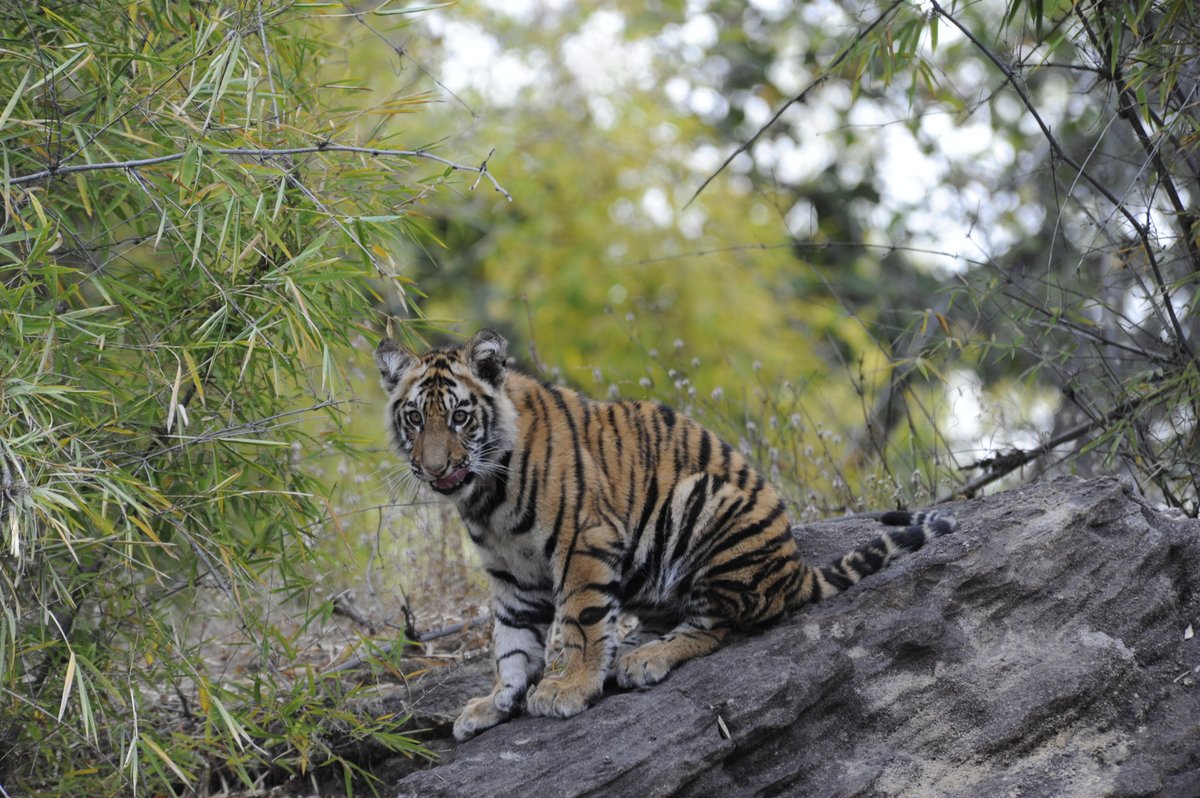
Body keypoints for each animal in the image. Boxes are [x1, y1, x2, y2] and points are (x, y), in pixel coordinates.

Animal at [374, 328, 955, 739]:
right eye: (415, 418)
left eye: (460, 417)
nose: (435, 468)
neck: (485, 498)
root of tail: (793, 567)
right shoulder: (511, 574)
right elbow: (511, 644)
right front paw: (494, 703)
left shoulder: (585, 541)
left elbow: (581, 622)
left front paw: (568, 688)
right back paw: (631, 649)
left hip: (703, 505)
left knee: (720, 623)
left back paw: (645, 659)